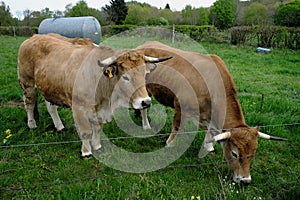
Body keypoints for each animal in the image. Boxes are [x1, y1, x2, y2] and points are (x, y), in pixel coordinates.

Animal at [18, 35, 171, 159]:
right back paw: (31, 124)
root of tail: (33, 37)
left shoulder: (100, 109)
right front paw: (86, 151)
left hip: (50, 88)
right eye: (126, 77)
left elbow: (97, 128)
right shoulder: (78, 108)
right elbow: (85, 131)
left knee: (51, 107)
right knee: (29, 103)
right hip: (27, 83)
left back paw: (59, 126)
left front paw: (97, 146)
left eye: (144, 74)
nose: (146, 102)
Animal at [136, 41, 286, 184]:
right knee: (144, 107)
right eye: (235, 154)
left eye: (253, 154)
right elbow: (176, 127)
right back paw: (146, 125)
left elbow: (211, 132)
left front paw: (208, 146)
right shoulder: (180, 106)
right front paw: (170, 144)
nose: (245, 181)